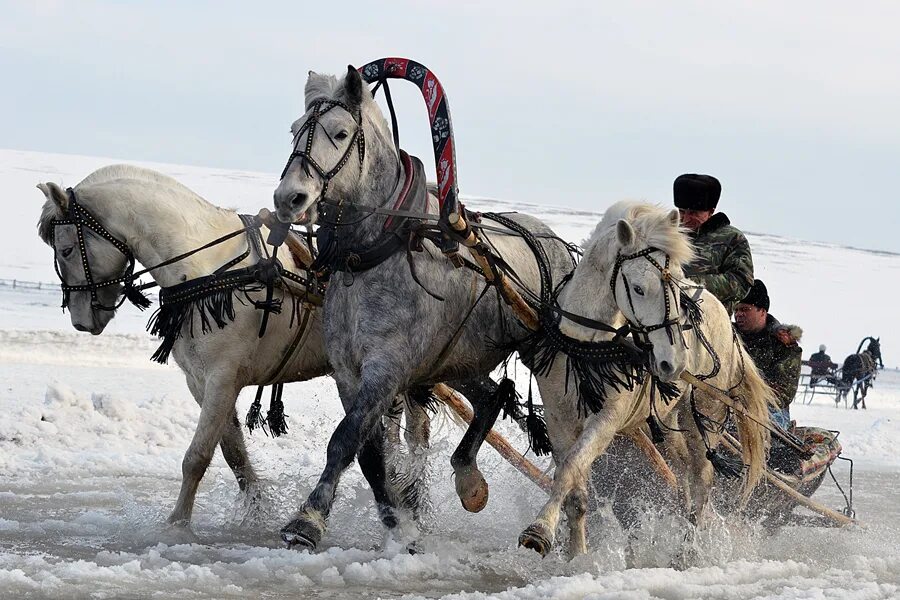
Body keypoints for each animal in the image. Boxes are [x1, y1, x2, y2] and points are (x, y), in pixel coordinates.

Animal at [270, 68, 572, 552]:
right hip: (455, 359)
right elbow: (369, 453)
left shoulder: (386, 367)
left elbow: (344, 440)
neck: (373, 253)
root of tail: (557, 241)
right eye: (296, 130)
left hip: (546, 359)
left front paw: (307, 520)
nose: (289, 198)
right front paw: (398, 521)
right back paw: (469, 481)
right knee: (492, 396)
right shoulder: (349, 373)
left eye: (340, 133)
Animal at [516, 202, 768, 556]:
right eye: (638, 288)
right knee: (680, 474)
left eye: (679, 288)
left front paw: (539, 530)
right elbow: (575, 488)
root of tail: (724, 316)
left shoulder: (606, 420)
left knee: (702, 482)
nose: (672, 363)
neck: (587, 344)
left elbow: (569, 469)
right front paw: (576, 554)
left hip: (706, 417)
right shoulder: (558, 417)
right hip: (667, 422)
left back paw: (688, 550)